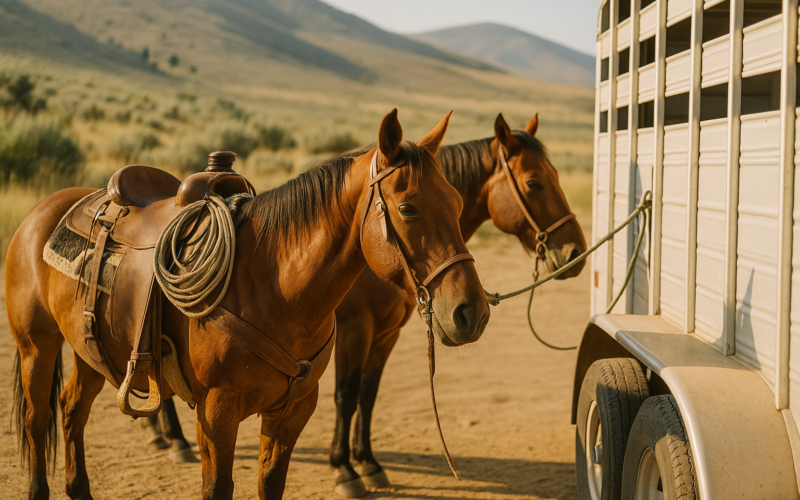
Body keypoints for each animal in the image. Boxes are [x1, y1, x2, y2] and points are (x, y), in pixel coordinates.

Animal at [6, 109, 491, 500]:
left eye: (457, 201)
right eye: (407, 208)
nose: (471, 312)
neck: (276, 289)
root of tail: (42, 210)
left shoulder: (293, 410)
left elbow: (271, 484)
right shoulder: (217, 414)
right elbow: (218, 488)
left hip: (92, 351)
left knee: (71, 411)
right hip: (37, 347)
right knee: (36, 419)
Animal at [328, 113, 588, 496]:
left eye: (457, 203)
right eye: (534, 182)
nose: (575, 252)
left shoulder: (386, 333)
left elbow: (368, 394)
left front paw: (368, 463)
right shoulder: (354, 330)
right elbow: (346, 396)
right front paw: (344, 470)